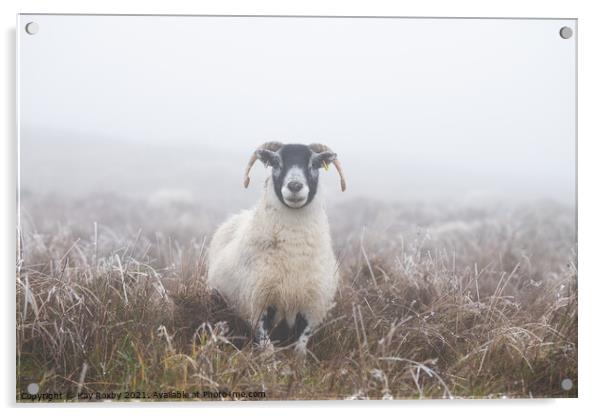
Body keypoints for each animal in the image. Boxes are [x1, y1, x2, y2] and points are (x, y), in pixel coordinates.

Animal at [206, 141, 344, 356]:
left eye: (314, 164)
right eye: (276, 162)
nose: (295, 186)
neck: (294, 252)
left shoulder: (310, 307)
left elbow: (300, 348)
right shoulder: (258, 304)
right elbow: (267, 347)